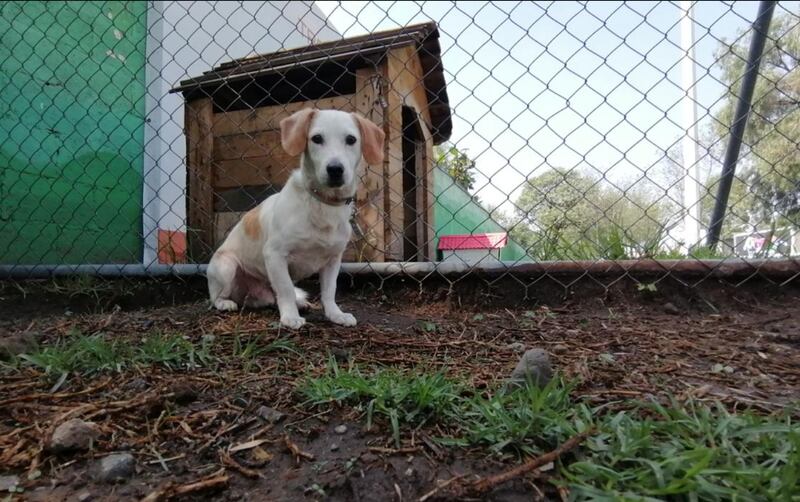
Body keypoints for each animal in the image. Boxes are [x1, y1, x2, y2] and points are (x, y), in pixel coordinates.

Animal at [208, 109, 386, 330]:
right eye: (316, 138)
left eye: (351, 139)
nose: (335, 169)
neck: (323, 204)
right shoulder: (275, 255)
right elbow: (285, 289)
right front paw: (290, 317)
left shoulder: (333, 260)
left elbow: (329, 291)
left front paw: (335, 314)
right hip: (226, 266)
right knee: (216, 297)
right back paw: (225, 303)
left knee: (278, 295)